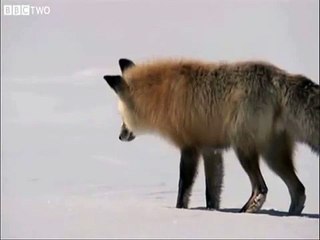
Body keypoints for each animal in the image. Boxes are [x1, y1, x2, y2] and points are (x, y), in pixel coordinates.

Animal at [104, 58, 318, 216]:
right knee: (299, 190)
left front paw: (180, 211)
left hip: (245, 150)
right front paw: (211, 212)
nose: (120, 136)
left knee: (262, 188)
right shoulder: (210, 150)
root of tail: (278, 75)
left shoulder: (189, 147)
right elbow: (212, 193)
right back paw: (291, 217)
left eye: (122, 117)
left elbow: (184, 188)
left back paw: (247, 212)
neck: (163, 95)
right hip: (273, 156)